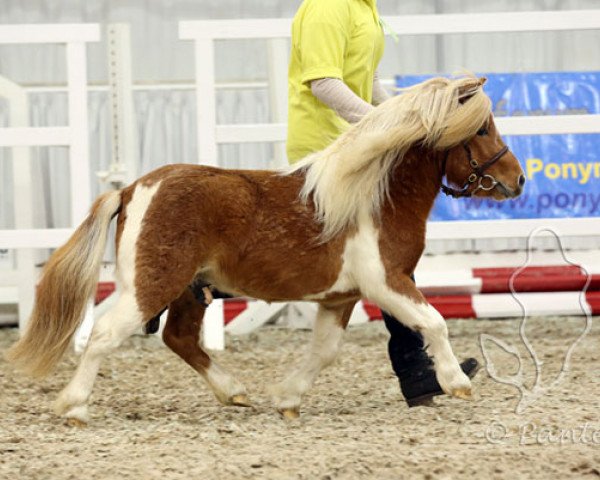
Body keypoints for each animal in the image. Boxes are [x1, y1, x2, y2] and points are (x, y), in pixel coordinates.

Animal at [4, 76, 524, 424]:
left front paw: (287, 398)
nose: (518, 179)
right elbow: (433, 322)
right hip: (152, 286)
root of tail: (132, 189)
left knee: (179, 339)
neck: (374, 195)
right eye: (482, 130)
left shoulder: (341, 296)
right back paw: (74, 406)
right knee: (104, 335)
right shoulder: (387, 282)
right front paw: (457, 382)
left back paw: (234, 392)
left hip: (189, 291)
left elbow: (325, 351)